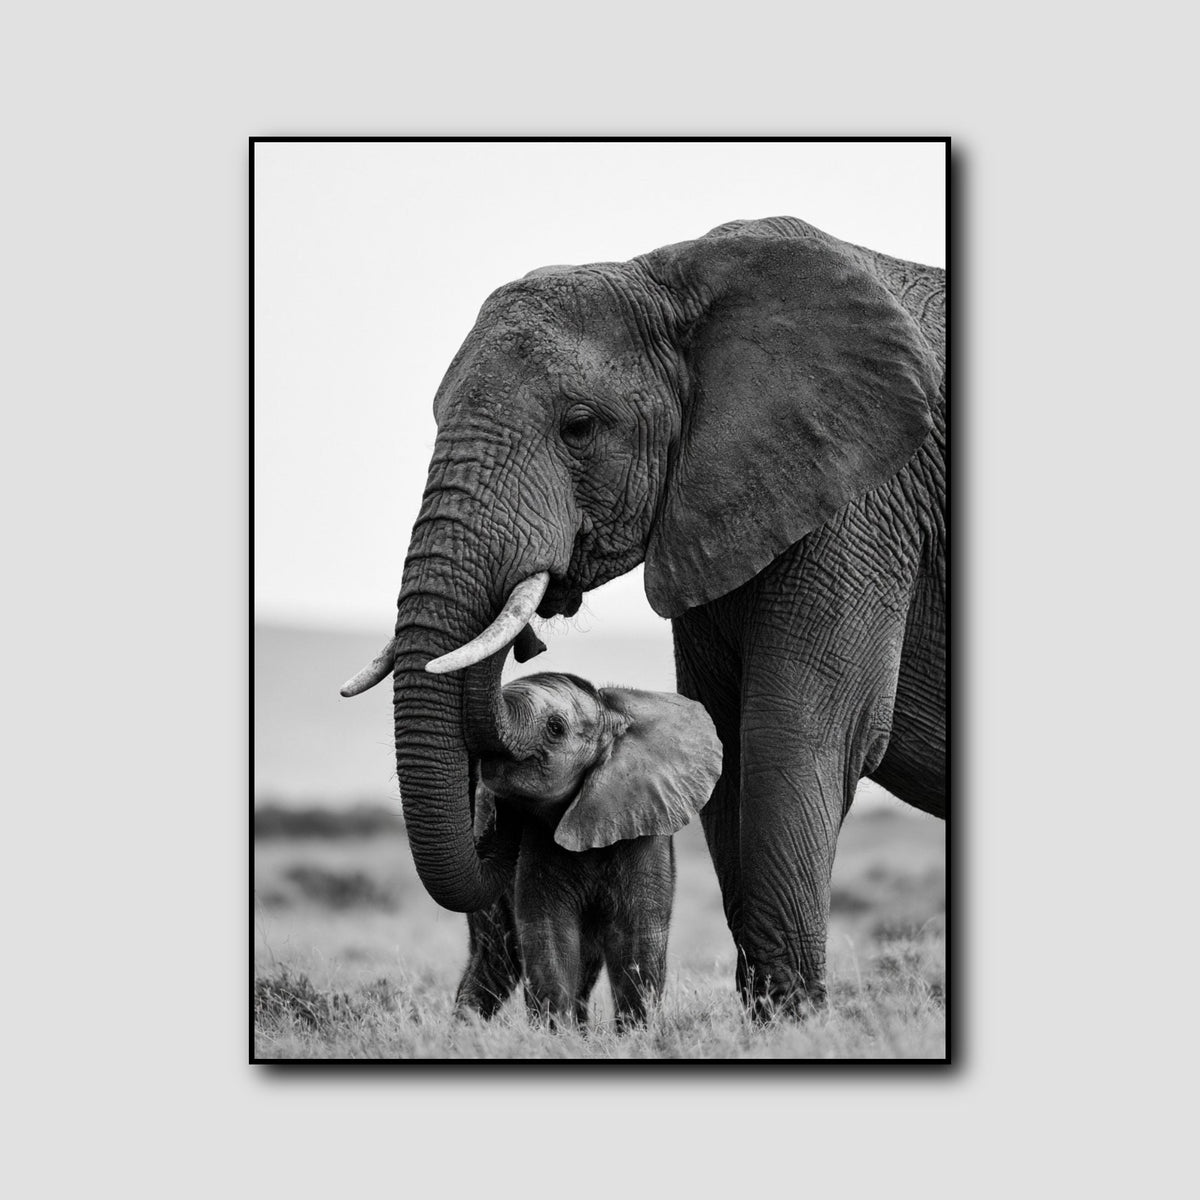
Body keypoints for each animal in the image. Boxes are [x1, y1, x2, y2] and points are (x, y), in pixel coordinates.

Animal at [452, 665, 722, 1025]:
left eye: (555, 727)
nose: (497, 807)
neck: (613, 713)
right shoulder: (537, 839)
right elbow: (551, 935)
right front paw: (555, 1034)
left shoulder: (644, 830)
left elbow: (638, 938)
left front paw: (636, 1033)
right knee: (497, 957)